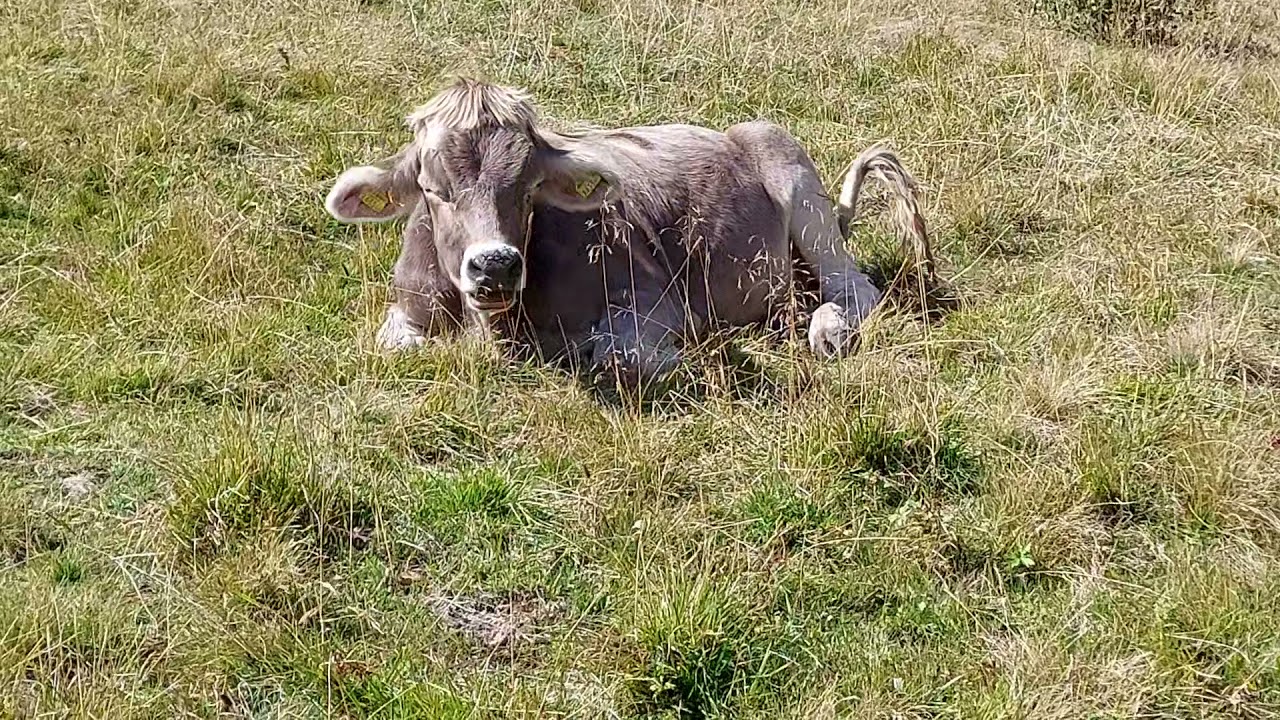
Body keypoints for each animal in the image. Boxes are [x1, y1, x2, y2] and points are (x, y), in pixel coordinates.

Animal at [323, 77, 934, 386]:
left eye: (530, 187)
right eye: (432, 188)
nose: (495, 265)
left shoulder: (655, 302)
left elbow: (620, 357)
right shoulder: (406, 312)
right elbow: (398, 349)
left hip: (790, 169)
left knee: (855, 288)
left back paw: (828, 327)